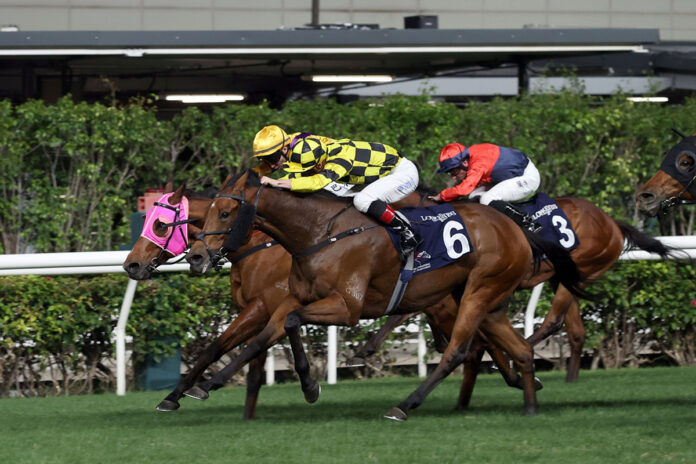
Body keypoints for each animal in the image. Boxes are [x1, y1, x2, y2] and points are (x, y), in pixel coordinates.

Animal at [185, 170, 588, 420]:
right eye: (206, 214)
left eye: (225, 212)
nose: (197, 256)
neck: (319, 232)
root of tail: (517, 228)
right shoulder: (292, 297)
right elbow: (267, 335)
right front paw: (204, 385)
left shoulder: (346, 307)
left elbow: (291, 323)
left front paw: (310, 383)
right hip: (487, 301)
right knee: (518, 349)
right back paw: (529, 404)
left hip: (477, 292)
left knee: (458, 351)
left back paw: (404, 406)